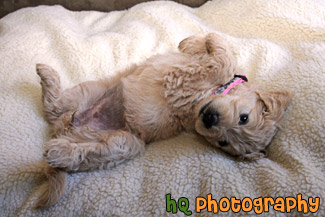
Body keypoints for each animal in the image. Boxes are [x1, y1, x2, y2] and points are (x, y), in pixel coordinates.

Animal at [35, 33, 292, 208]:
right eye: (243, 118)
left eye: (223, 143)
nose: (210, 119)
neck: (205, 97)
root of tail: (66, 130)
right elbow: (212, 50)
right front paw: (191, 41)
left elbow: (223, 60)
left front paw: (207, 41)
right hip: (91, 91)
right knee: (55, 106)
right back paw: (47, 76)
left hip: (127, 143)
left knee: (82, 146)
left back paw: (58, 150)